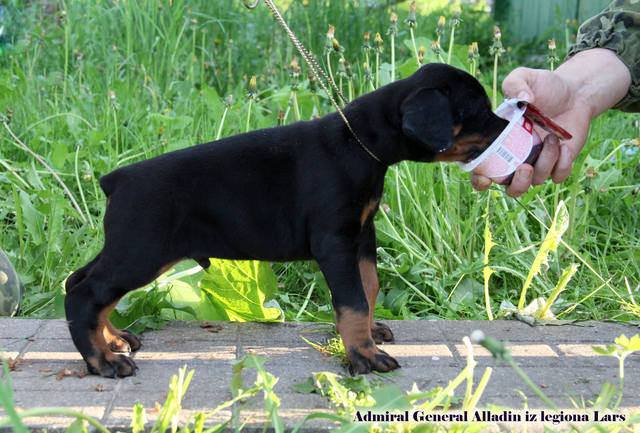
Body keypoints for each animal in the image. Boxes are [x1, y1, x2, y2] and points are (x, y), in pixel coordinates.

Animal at [63, 62, 504, 376]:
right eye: (480, 110)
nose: (511, 124)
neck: (359, 142)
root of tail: (116, 179)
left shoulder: (361, 234)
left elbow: (369, 286)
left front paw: (368, 334)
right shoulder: (335, 240)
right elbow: (353, 299)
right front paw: (363, 354)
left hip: (131, 249)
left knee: (81, 282)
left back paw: (113, 340)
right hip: (141, 252)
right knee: (85, 293)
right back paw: (103, 362)